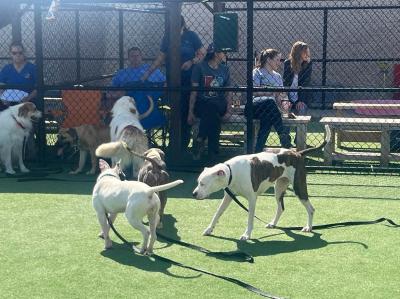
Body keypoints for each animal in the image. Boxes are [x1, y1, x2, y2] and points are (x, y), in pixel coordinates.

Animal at [193, 125, 332, 241]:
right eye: (198, 182)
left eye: (203, 183)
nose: (194, 194)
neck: (232, 171)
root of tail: (297, 153)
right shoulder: (228, 197)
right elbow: (217, 213)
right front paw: (209, 229)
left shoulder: (252, 199)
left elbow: (250, 218)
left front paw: (247, 235)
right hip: (279, 188)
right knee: (281, 208)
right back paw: (273, 223)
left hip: (299, 188)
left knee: (311, 209)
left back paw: (308, 227)